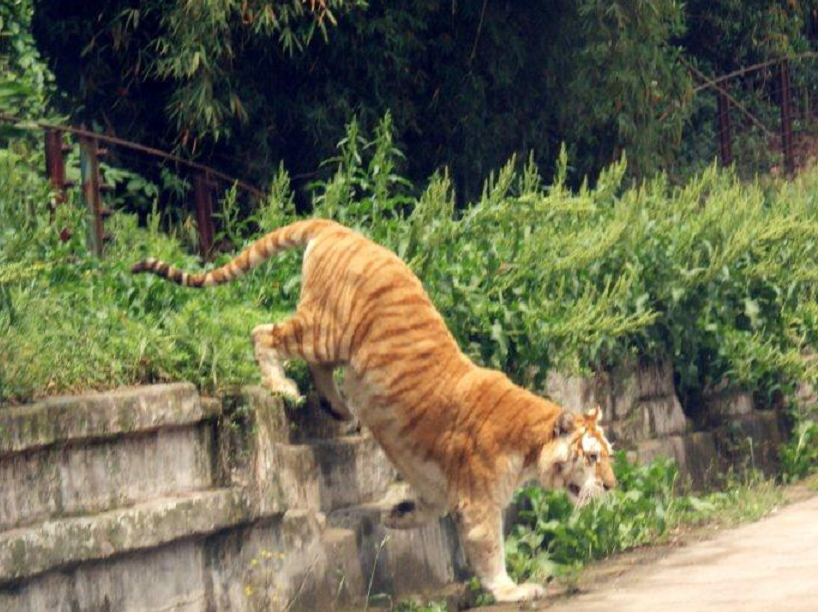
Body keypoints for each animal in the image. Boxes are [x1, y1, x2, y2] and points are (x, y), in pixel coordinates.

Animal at [132, 218, 616, 603]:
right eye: (592, 457)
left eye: (609, 456)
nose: (612, 487)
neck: (529, 445)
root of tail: (337, 227)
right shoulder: (478, 503)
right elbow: (489, 549)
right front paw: (511, 590)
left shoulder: (441, 485)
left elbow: (429, 509)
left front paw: (396, 516)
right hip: (324, 329)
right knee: (264, 332)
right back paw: (282, 386)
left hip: (334, 345)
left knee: (315, 366)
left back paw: (338, 408)